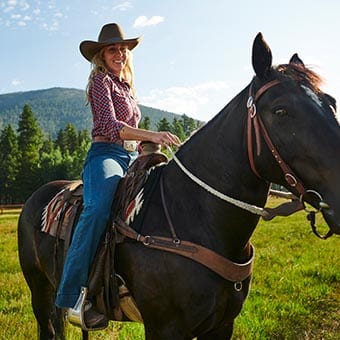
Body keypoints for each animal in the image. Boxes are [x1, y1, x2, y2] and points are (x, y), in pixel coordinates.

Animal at [17, 33, 340, 340]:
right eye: (280, 110)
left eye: (332, 102)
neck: (195, 217)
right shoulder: (164, 327)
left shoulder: (222, 326)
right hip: (39, 290)